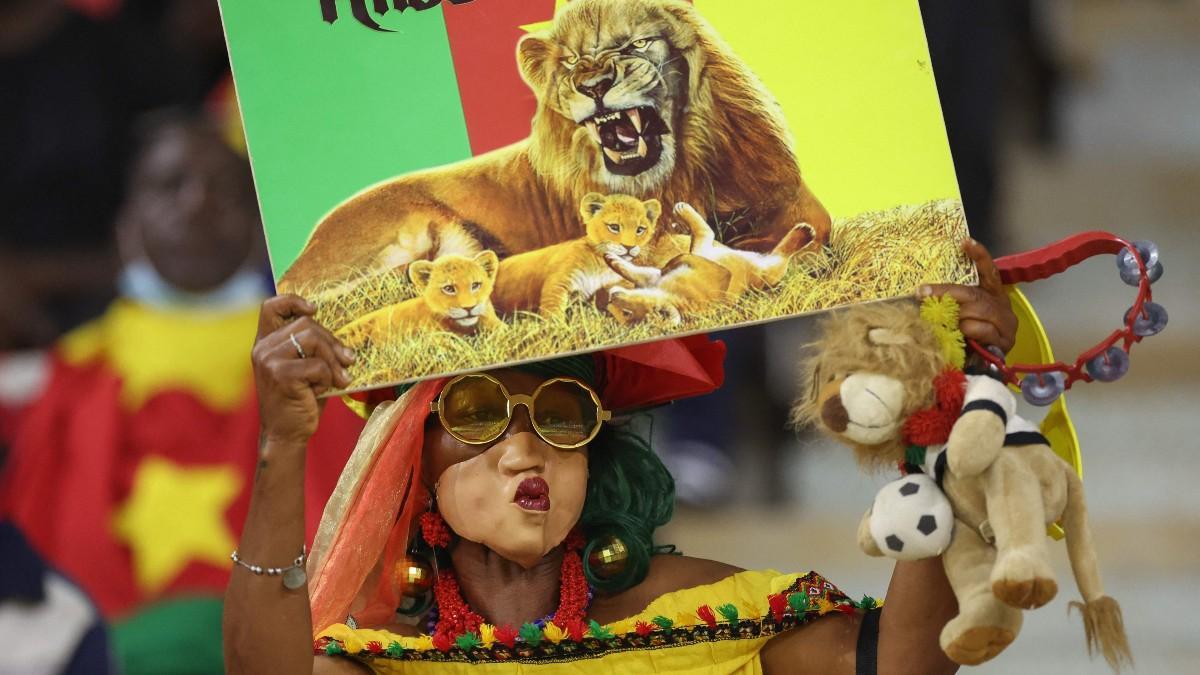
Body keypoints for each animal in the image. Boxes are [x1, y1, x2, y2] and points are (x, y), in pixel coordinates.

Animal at [277, 0, 830, 294]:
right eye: (569, 64)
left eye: (634, 45)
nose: (593, 83)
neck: (683, 170)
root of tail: (294, 269)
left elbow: (808, 231)